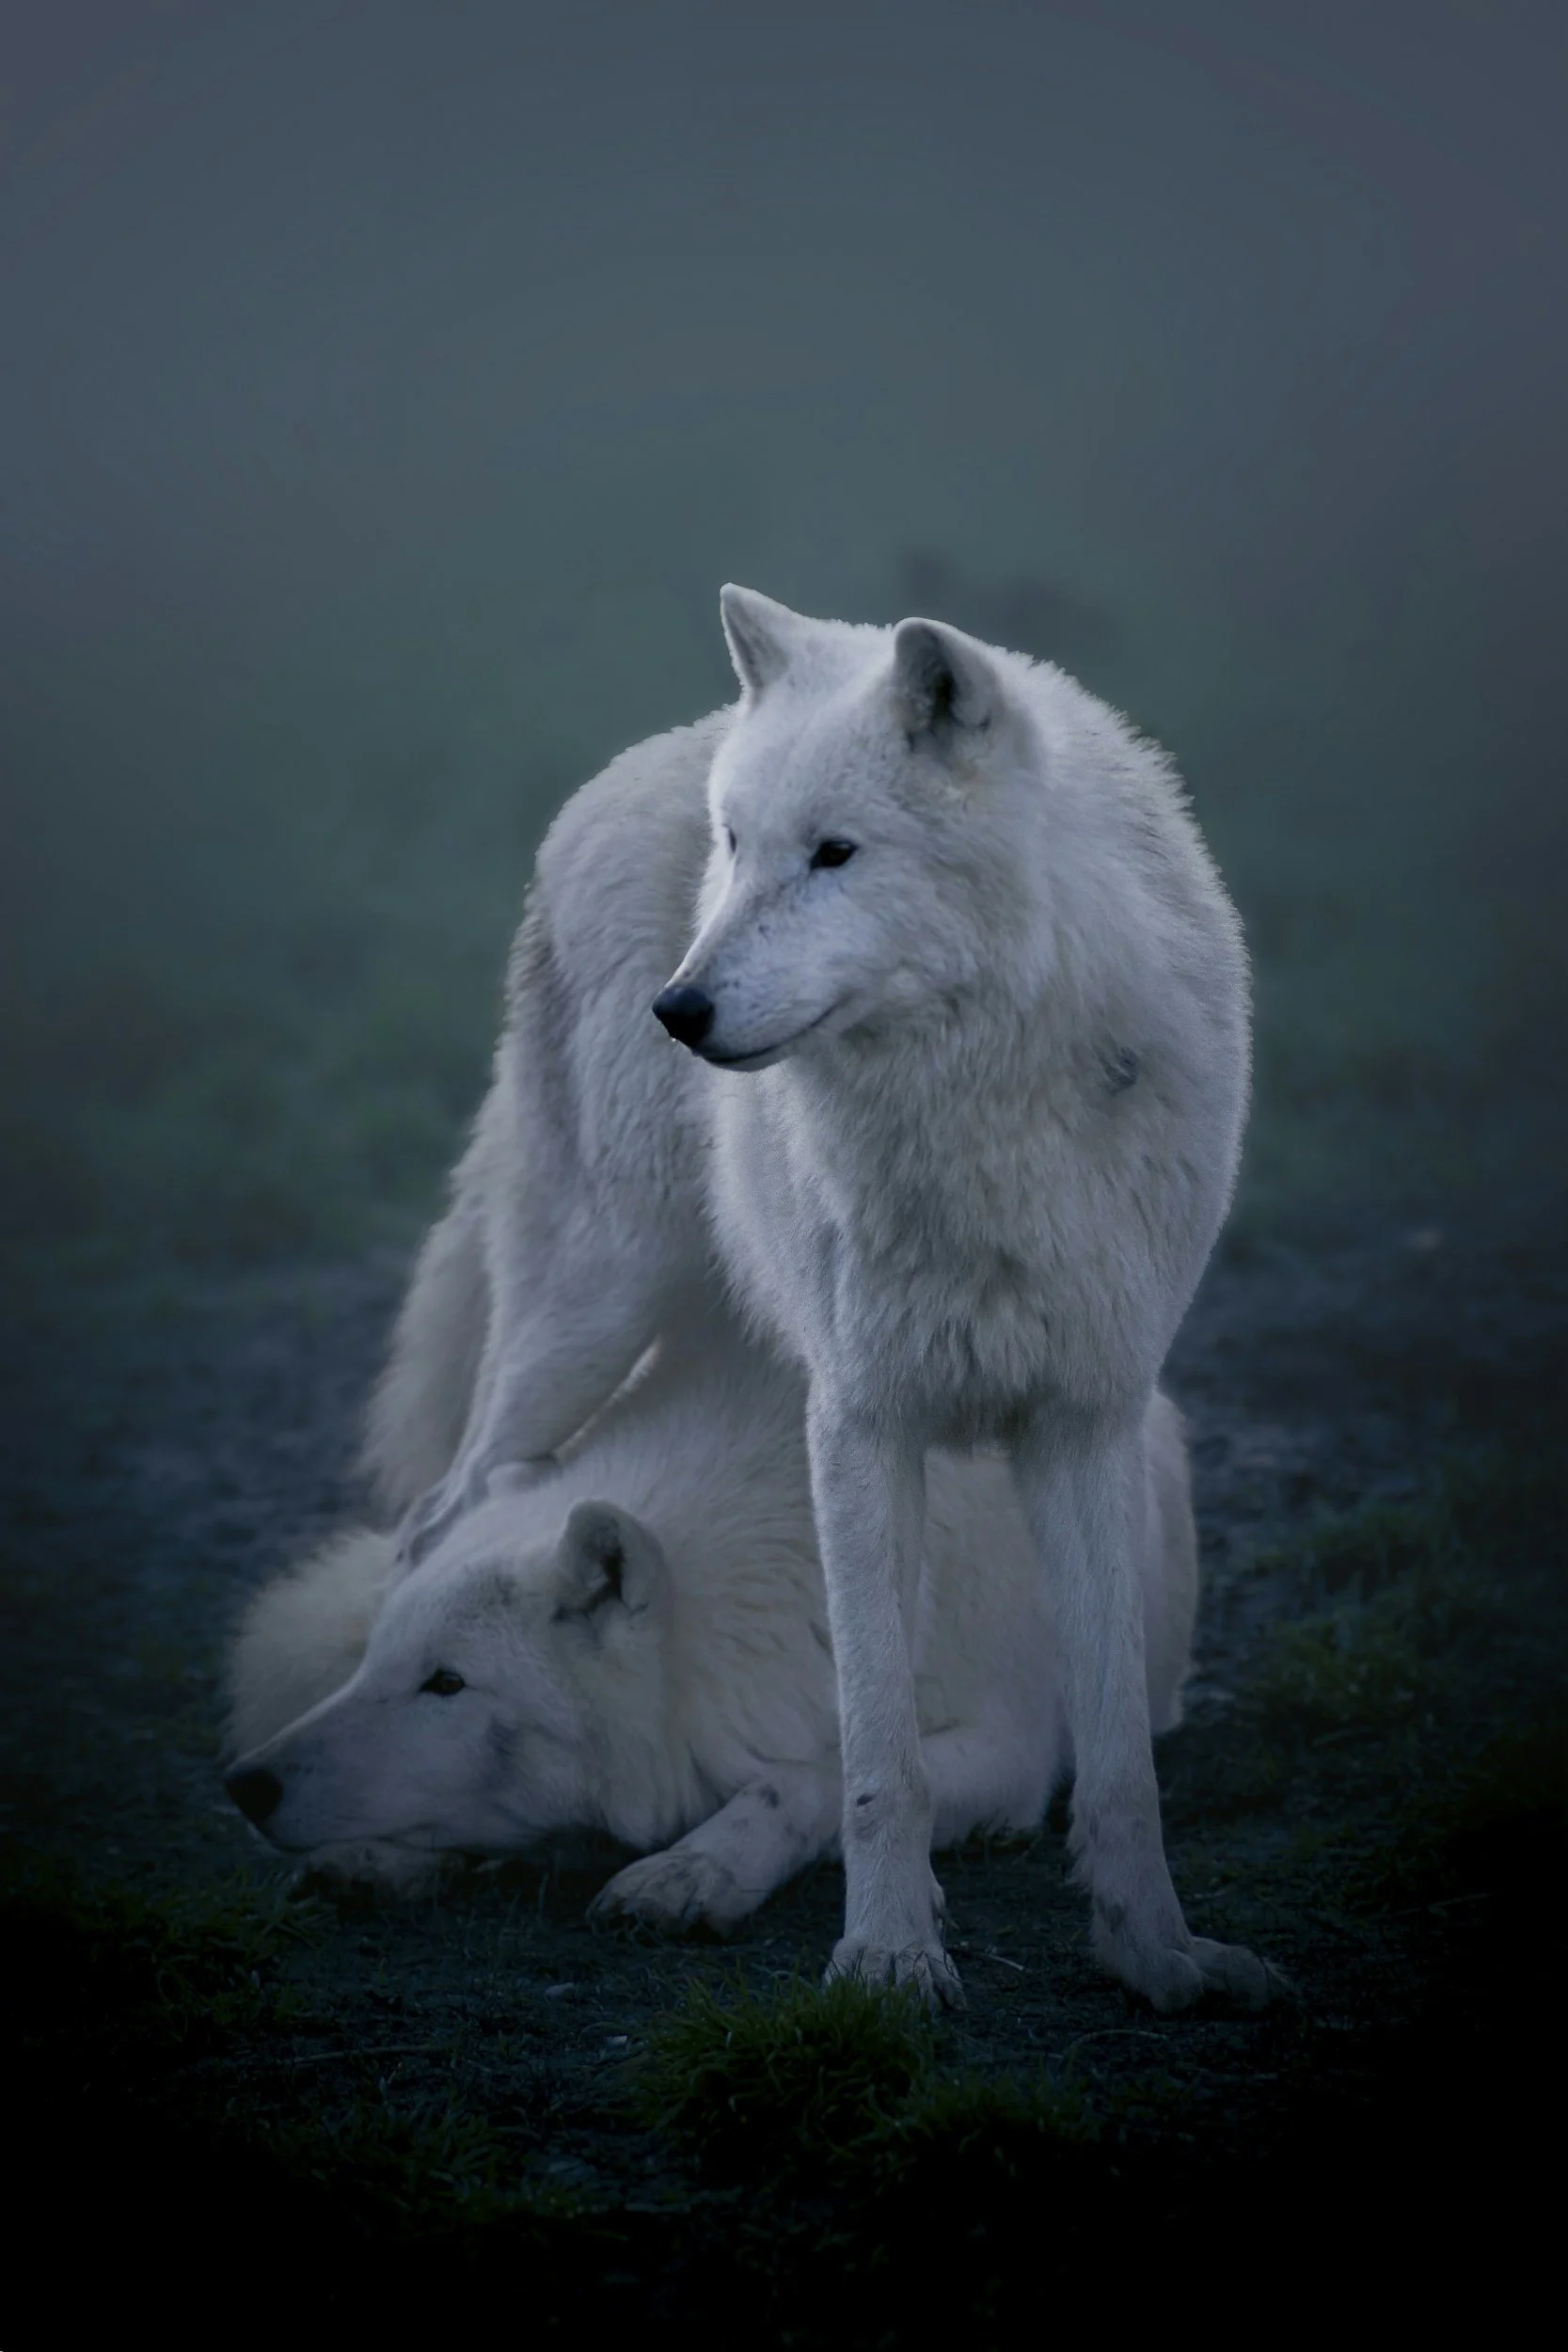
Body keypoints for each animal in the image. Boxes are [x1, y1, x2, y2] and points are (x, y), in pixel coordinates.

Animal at [227, 1322, 1200, 1923]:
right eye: (374, 1663)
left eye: (447, 1682)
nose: (245, 1784)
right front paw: (381, 1859)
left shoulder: (1007, 1744)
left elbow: (810, 1779)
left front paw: (695, 1870)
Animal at [364, 590, 1266, 2010]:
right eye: (735, 849)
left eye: (835, 855)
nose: (676, 1008)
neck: (973, 1120)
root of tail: (647, 752)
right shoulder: (858, 1421)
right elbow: (874, 1755)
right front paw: (888, 1958)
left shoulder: (1083, 1421)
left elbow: (1116, 1756)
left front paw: (1153, 1954)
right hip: (585, 1313)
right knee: (435, 1525)